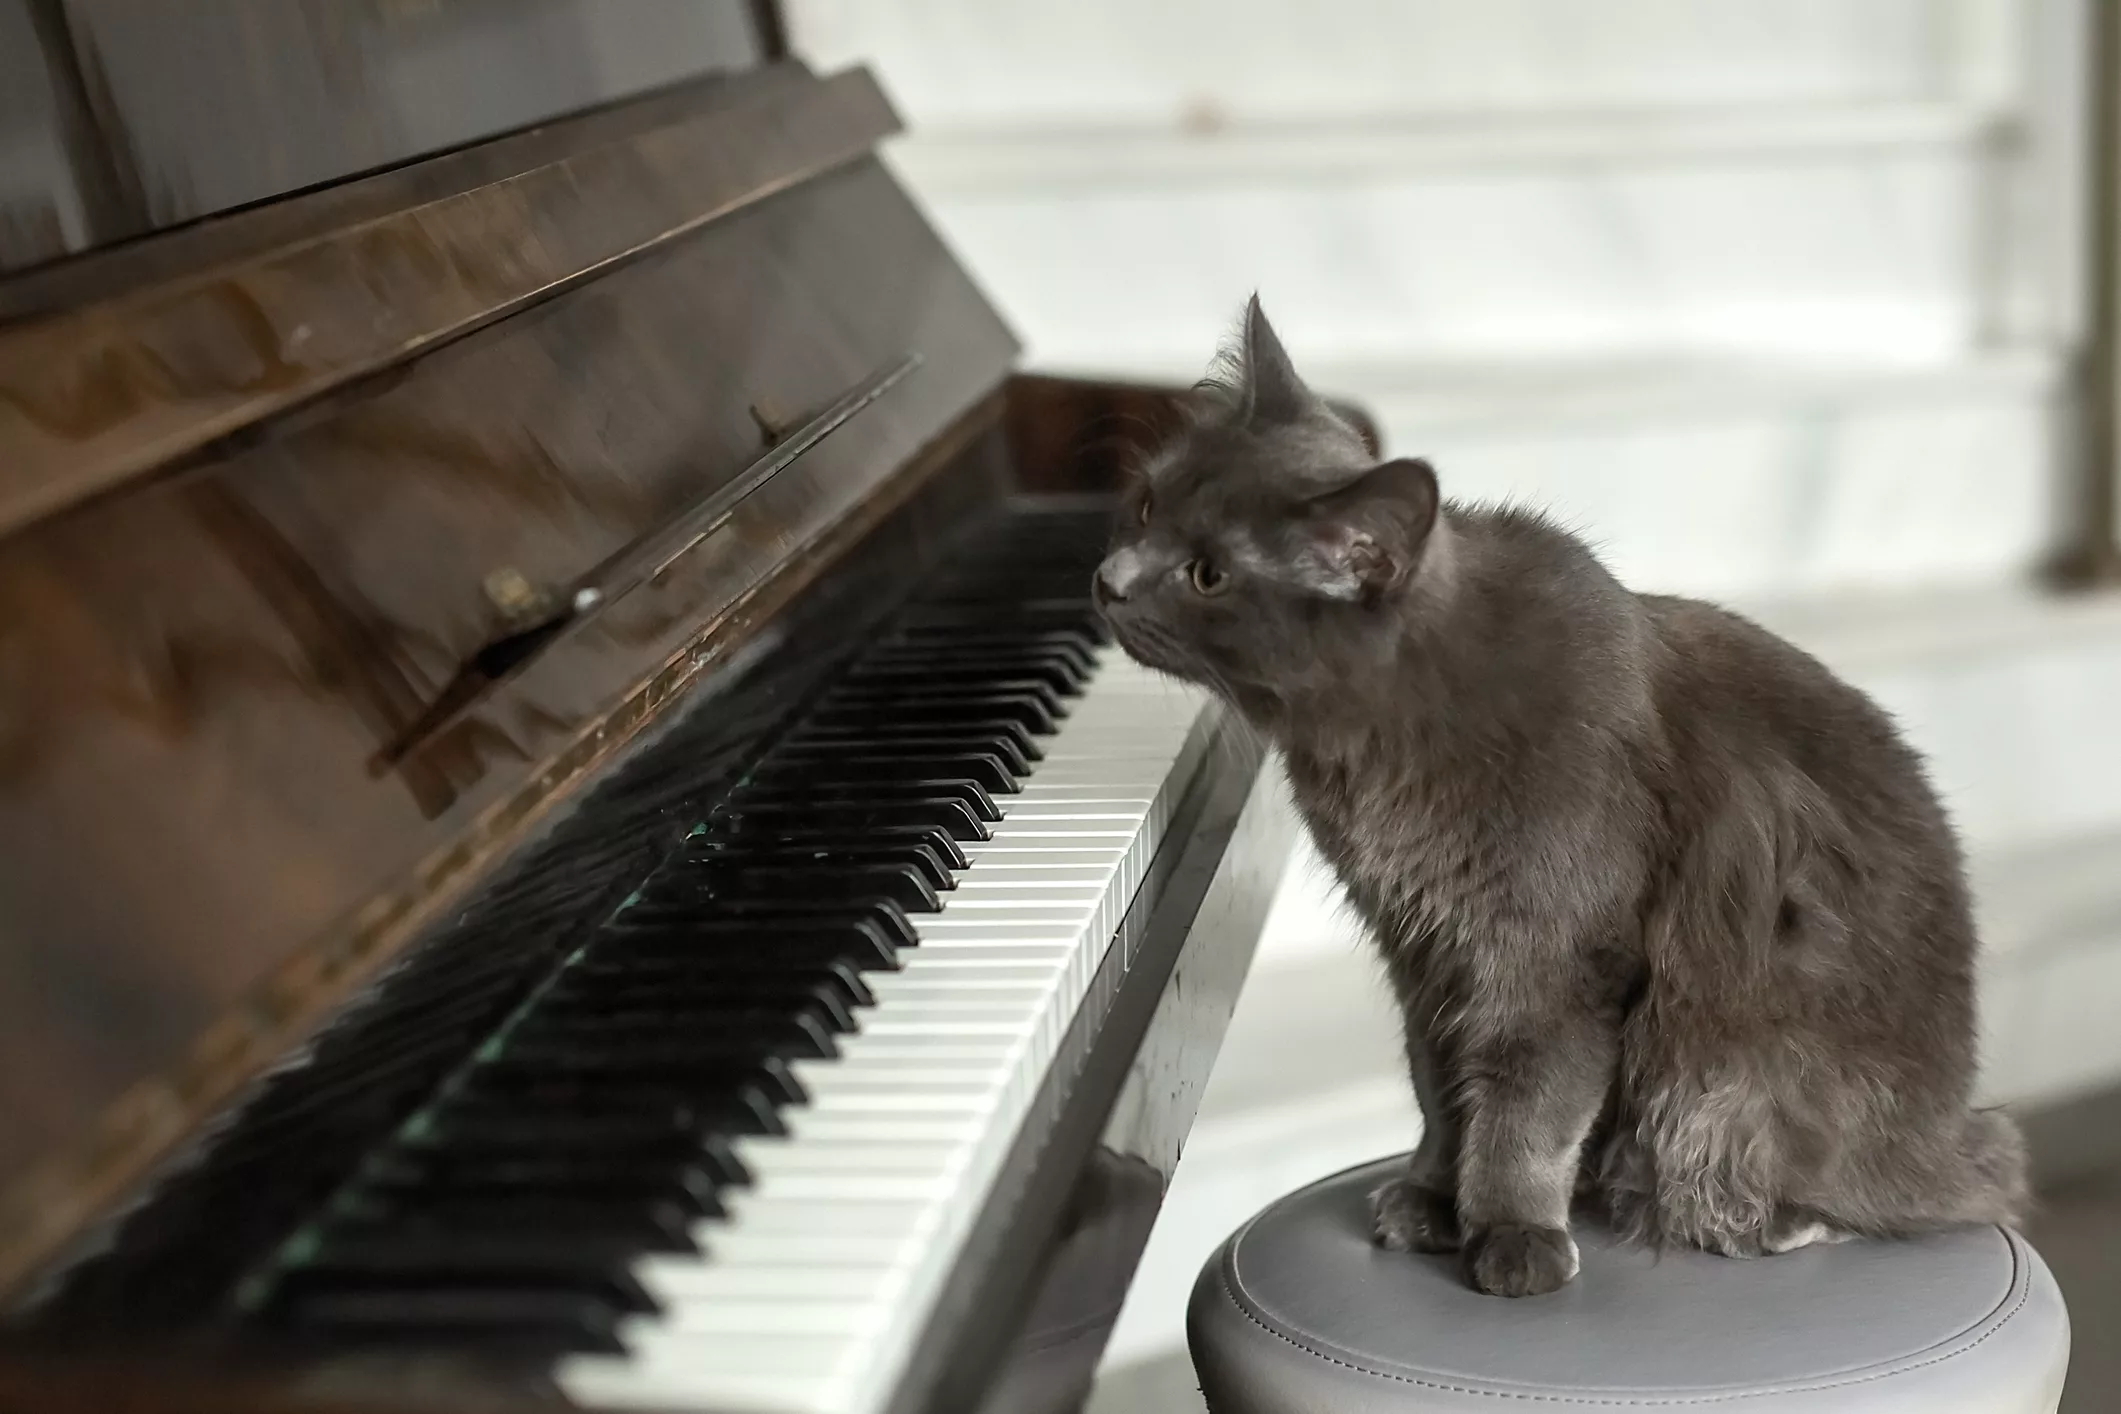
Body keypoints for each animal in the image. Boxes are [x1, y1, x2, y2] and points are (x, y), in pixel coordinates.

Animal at [1102, 296, 2027, 1297]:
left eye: (1207, 574)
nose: (1106, 579)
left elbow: (1526, 1105)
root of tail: (1948, 1127)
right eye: (1145, 506)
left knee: (1885, 1186)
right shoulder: (1422, 952)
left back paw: (1766, 1218)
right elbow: (1441, 1089)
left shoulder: (1551, 956)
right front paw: (1435, 1199)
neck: (1385, 736)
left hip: (1728, 1078)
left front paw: (1512, 1233)